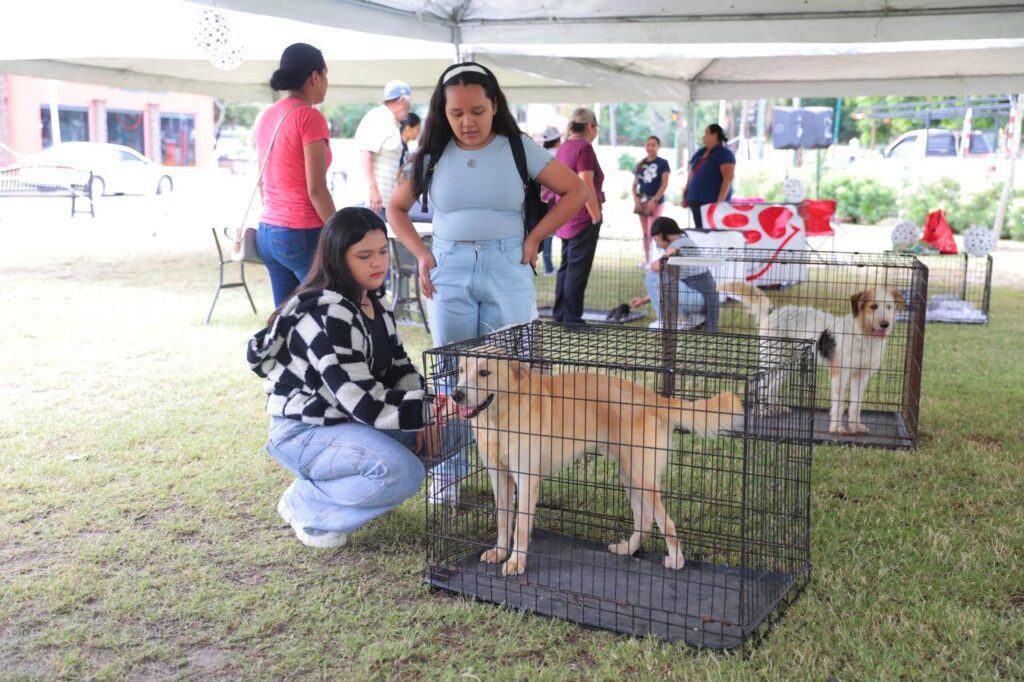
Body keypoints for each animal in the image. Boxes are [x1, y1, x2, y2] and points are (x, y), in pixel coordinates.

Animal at [450, 348, 745, 577]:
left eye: (484, 373)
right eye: (461, 370)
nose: (456, 395)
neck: (499, 418)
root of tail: (652, 397)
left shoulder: (526, 478)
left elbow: (521, 526)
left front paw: (516, 562)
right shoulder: (498, 476)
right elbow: (503, 519)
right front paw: (500, 552)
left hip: (640, 477)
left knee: (666, 523)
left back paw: (676, 560)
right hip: (630, 475)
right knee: (645, 521)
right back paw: (627, 549)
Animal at [720, 280, 905, 436]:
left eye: (889, 307)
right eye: (873, 306)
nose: (885, 324)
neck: (862, 334)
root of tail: (772, 312)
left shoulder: (861, 375)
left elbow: (856, 405)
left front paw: (855, 426)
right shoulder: (839, 374)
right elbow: (839, 404)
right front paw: (836, 427)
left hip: (789, 364)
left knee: (772, 386)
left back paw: (775, 408)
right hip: (772, 360)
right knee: (759, 385)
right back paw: (761, 411)